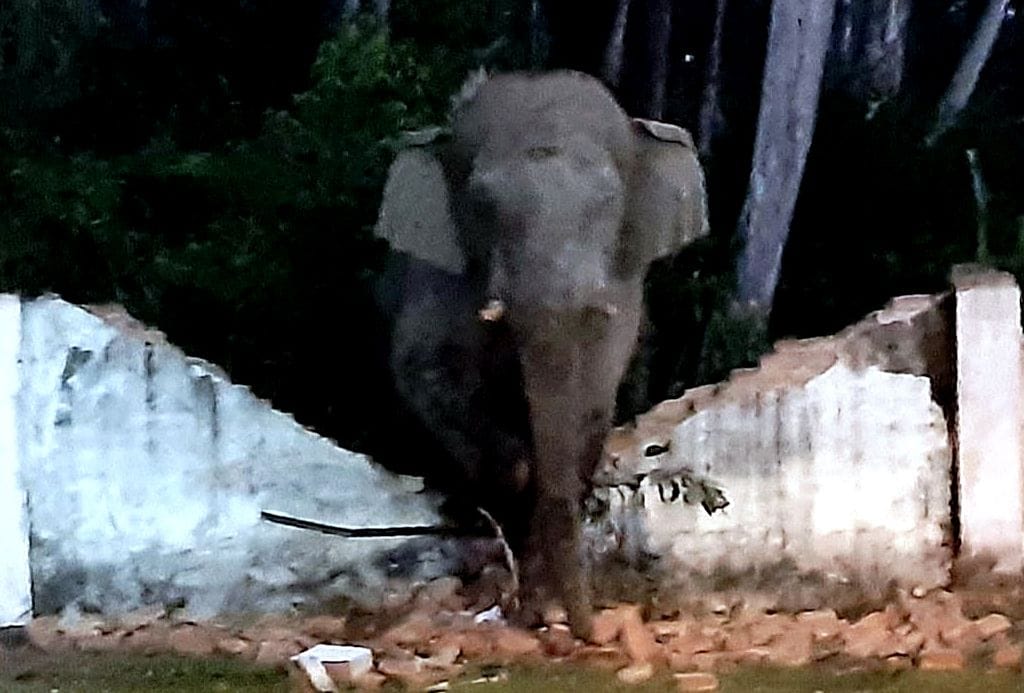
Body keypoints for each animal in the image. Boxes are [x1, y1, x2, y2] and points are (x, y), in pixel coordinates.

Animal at [374, 69, 709, 638]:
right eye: (481, 203)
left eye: (609, 201)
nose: (591, 632)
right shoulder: (438, 278)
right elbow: (423, 371)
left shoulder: (622, 286)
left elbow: (593, 398)